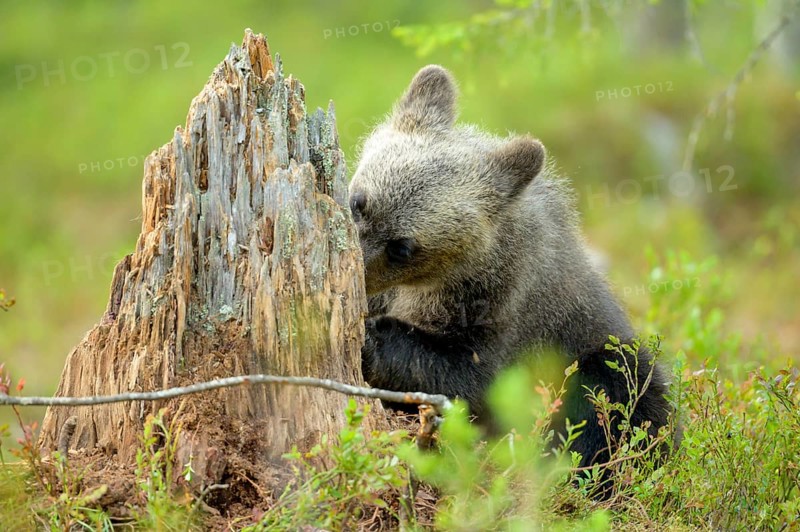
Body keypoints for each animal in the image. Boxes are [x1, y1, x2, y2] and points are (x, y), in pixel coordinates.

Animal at [348, 64, 672, 469]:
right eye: (359, 203)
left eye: (402, 246)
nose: (359, 268)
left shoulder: (505, 315)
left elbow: (467, 377)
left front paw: (371, 338)